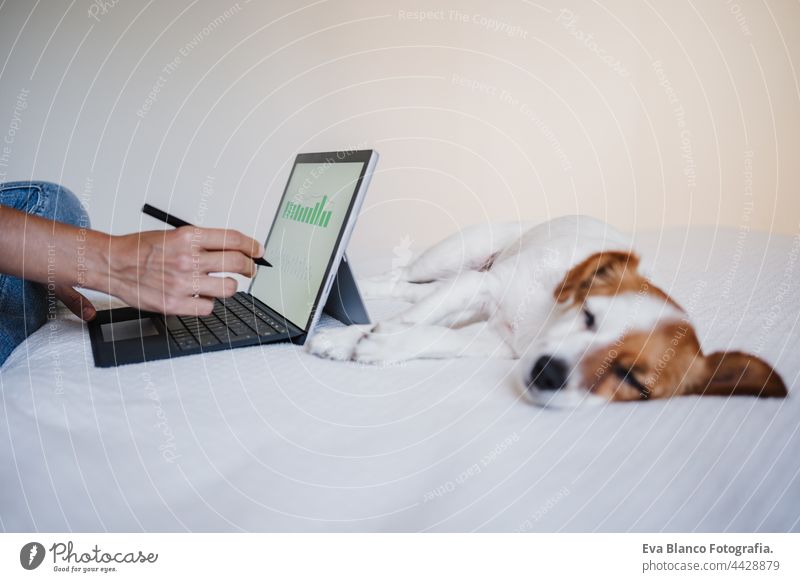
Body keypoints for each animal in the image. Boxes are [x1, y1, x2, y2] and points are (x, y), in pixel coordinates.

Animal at [306, 216, 788, 410]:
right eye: (589, 315)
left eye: (634, 382)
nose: (550, 373)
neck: (541, 324)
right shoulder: (481, 286)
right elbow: (406, 320)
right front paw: (349, 337)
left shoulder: (496, 342)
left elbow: (429, 335)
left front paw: (376, 345)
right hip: (455, 258)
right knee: (400, 280)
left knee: (410, 293)